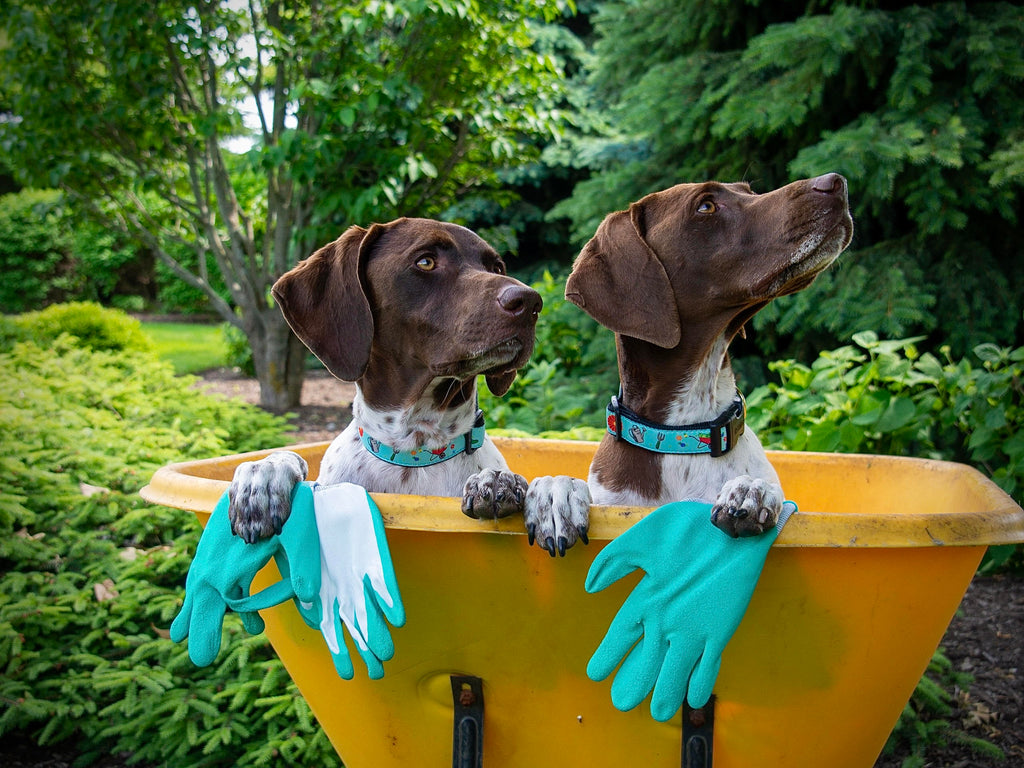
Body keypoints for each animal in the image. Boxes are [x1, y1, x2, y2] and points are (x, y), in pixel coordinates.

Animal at [227, 219, 589, 557]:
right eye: (425, 261)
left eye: (497, 267)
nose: (530, 301)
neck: (415, 451)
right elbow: (288, 460)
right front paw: (262, 476)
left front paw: (516, 484)